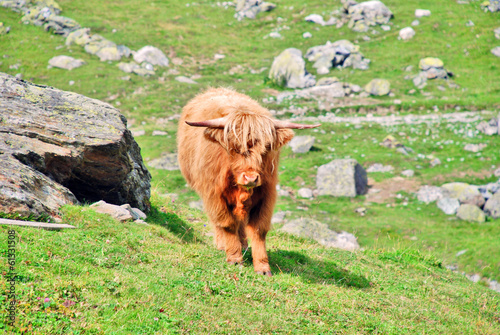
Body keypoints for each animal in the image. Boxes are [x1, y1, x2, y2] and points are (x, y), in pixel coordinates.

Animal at [178, 88, 320, 276]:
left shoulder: (266, 195)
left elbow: (259, 230)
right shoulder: (214, 194)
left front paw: (262, 267)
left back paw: (244, 245)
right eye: (234, 147)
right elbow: (227, 223)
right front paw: (234, 258)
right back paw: (223, 245)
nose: (251, 178)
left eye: (266, 148)